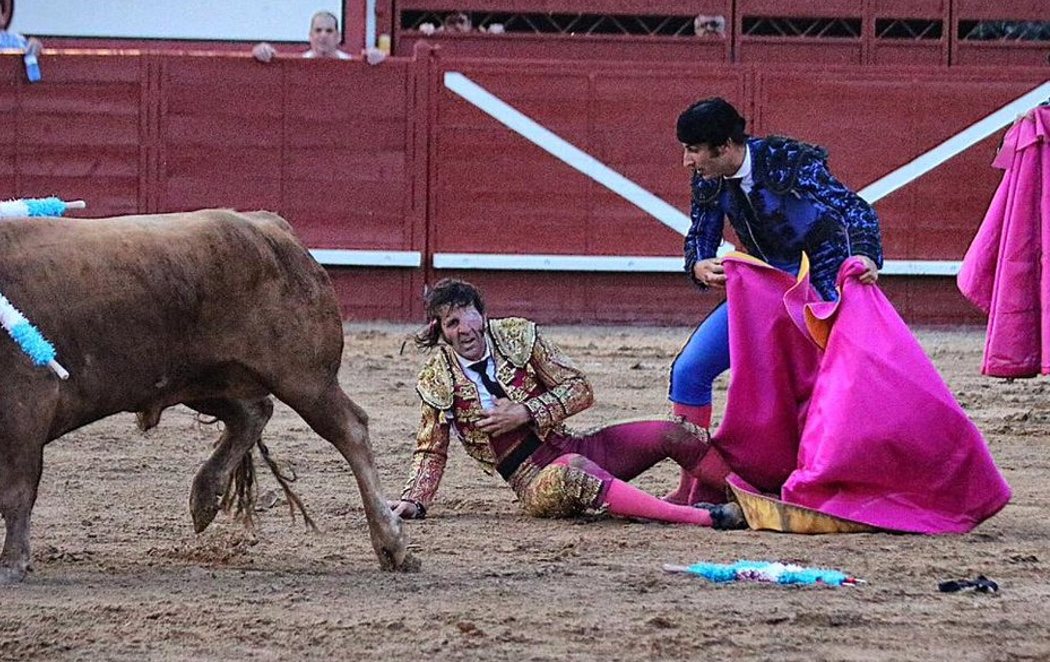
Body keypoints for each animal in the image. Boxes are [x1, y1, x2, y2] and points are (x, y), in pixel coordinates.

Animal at [0, 210, 411, 584]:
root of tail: (271, 226)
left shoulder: (27, 404)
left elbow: (17, 489)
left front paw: (11, 565)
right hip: (203, 379)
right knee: (252, 412)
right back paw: (205, 497)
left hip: (305, 379)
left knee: (349, 429)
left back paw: (391, 544)